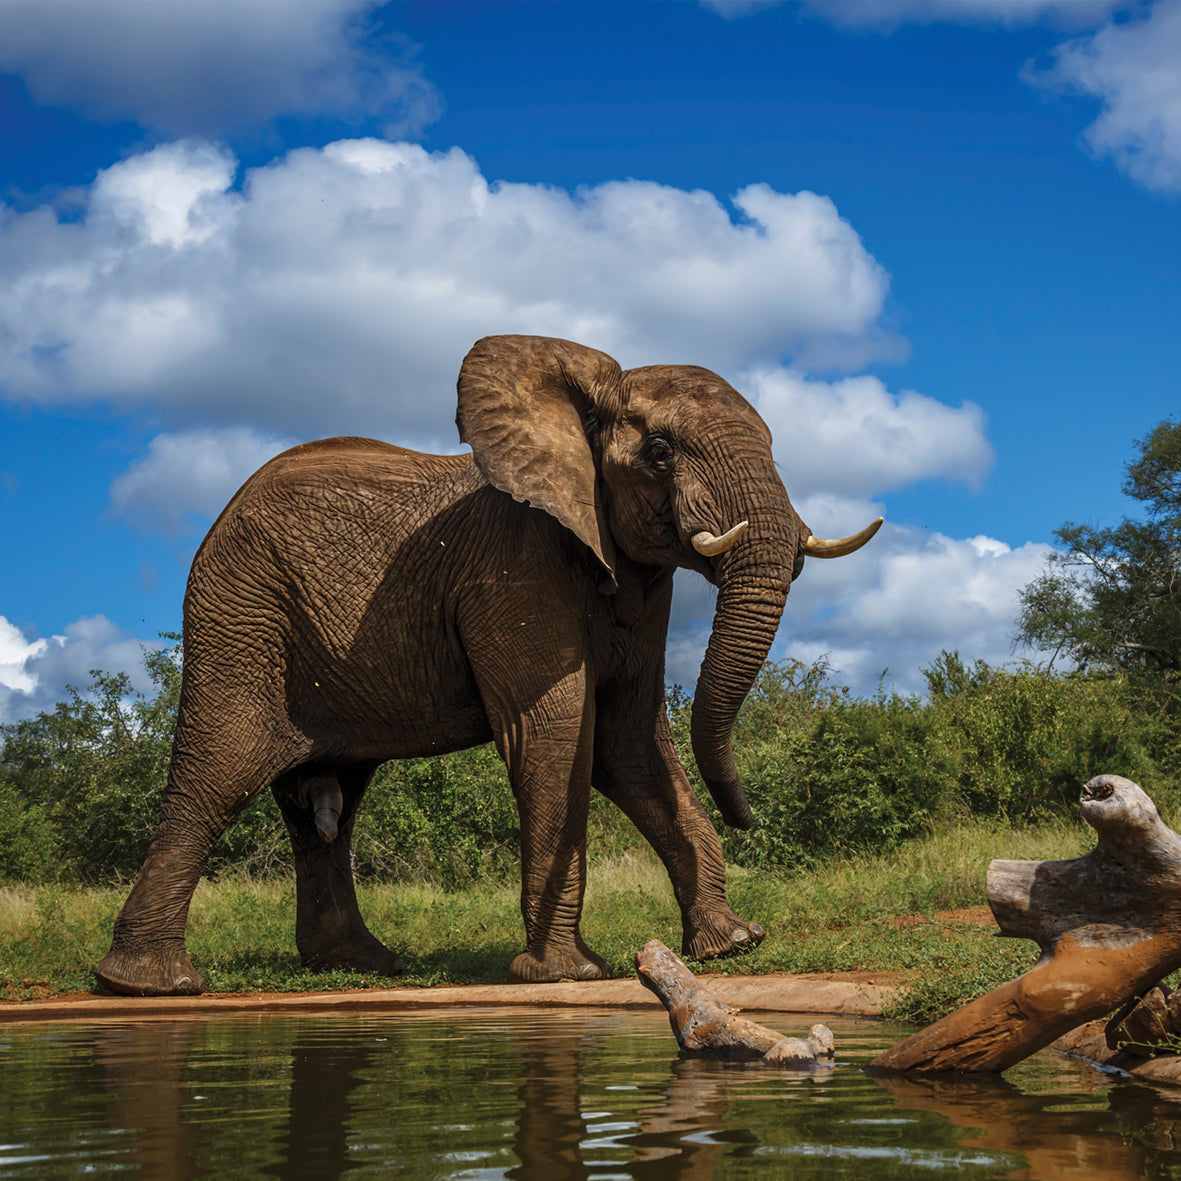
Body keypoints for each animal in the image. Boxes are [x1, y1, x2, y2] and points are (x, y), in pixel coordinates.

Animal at [95, 335, 881, 997]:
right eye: (660, 450)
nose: (751, 816)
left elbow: (629, 744)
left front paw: (734, 945)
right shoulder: (514, 566)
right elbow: (556, 733)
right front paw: (567, 973)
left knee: (328, 806)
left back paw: (363, 965)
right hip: (240, 616)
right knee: (216, 777)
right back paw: (151, 985)